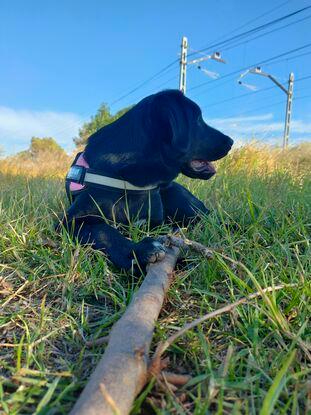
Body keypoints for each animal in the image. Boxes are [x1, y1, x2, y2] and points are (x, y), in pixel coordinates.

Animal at [60, 90, 234, 270]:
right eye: (198, 119)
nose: (231, 142)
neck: (128, 180)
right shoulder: (68, 221)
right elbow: (102, 230)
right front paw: (135, 252)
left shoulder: (157, 223)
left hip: (183, 202)